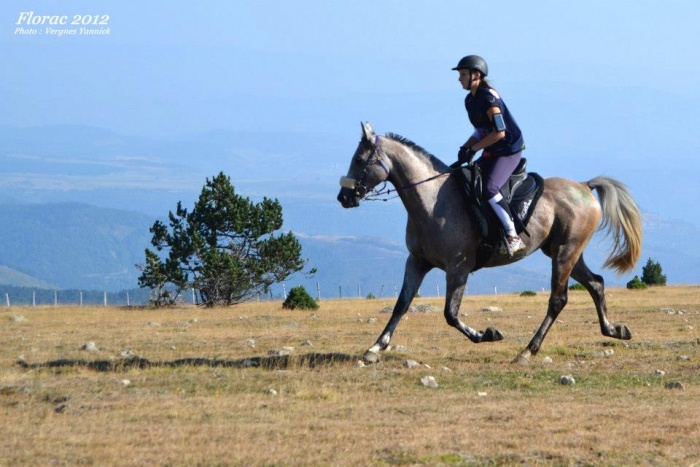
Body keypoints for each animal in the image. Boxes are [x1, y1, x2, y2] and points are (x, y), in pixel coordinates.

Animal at [336, 123, 644, 366]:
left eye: (360, 160)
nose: (343, 198)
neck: (432, 201)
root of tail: (583, 186)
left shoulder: (458, 268)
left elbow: (450, 314)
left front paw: (487, 334)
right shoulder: (417, 261)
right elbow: (402, 304)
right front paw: (375, 348)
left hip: (564, 253)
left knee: (558, 300)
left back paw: (527, 351)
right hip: (566, 252)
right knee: (596, 284)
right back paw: (614, 330)